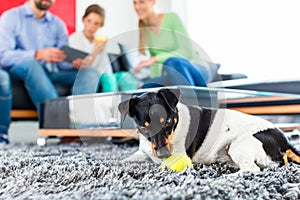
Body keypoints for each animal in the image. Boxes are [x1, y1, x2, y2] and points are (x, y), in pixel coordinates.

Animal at [119, 88, 300, 173]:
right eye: (143, 127)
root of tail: (286, 142)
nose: (163, 155)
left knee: (252, 169)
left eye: (168, 122)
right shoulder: (143, 151)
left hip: (238, 146)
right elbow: (124, 159)